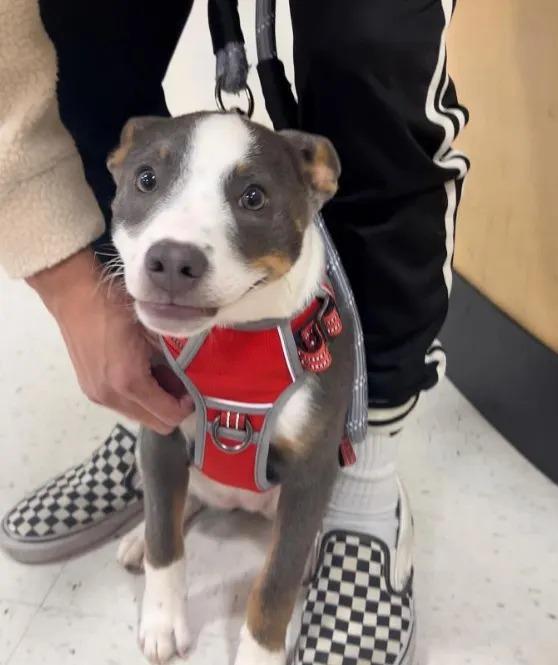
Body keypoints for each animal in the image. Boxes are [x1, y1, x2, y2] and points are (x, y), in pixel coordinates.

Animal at [108, 111, 354, 660]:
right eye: (146, 180)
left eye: (254, 197)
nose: (171, 261)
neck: (236, 341)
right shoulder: (160, 435)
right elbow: (165, 542)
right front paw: (162, 620)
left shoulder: (309, 473)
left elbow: (275, 582)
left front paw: (260, 652)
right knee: (173, 504)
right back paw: (138, 537)